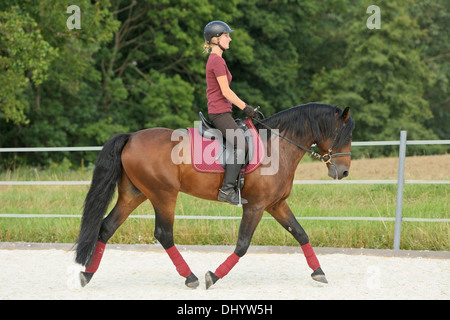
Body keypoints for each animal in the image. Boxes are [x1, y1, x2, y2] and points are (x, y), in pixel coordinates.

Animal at [74, 103, 356, 290]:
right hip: (163, 194)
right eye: (346, 134)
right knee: (164, 234)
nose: (343, 171)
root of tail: (131, 137)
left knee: (106, 227)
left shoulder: (276, 204)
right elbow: (242, 245)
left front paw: (318, 272)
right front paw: (213, 276)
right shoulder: (255, 206)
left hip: (134, 194)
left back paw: (87, 274)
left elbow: (300, 233)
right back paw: (191, 277)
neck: (277, 147)